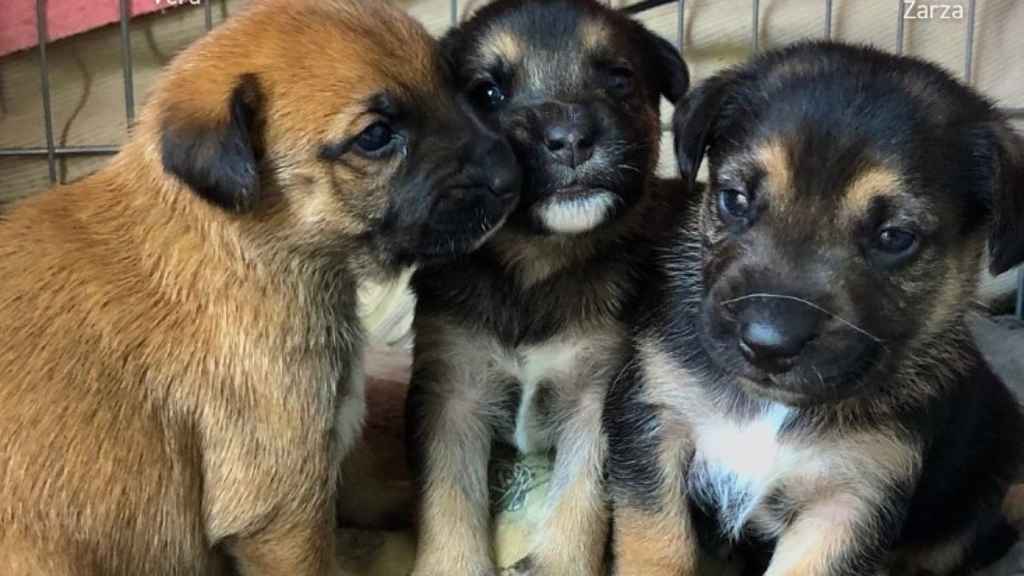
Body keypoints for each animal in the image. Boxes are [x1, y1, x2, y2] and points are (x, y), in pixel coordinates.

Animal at [0, 1, 520, 573]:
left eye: (453, 85)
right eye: (375, 136)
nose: (513, 175)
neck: (244, 244)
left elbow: (377, 487)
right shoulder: (282, 506)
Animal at [405, 1, 688, 573]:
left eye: (619, 78)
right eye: (487, 94)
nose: (571, 138)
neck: (537, 265)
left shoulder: (598, 395)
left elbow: (581, 496)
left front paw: (560, 562)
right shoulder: (450, 392)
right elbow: (448, 498)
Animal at [602, 41, 1024, 573]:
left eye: (894, 238)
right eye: (734, 199)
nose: (767, 345)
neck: (772, 408)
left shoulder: (850, 498)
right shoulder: (653, 421)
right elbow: (657, 545)